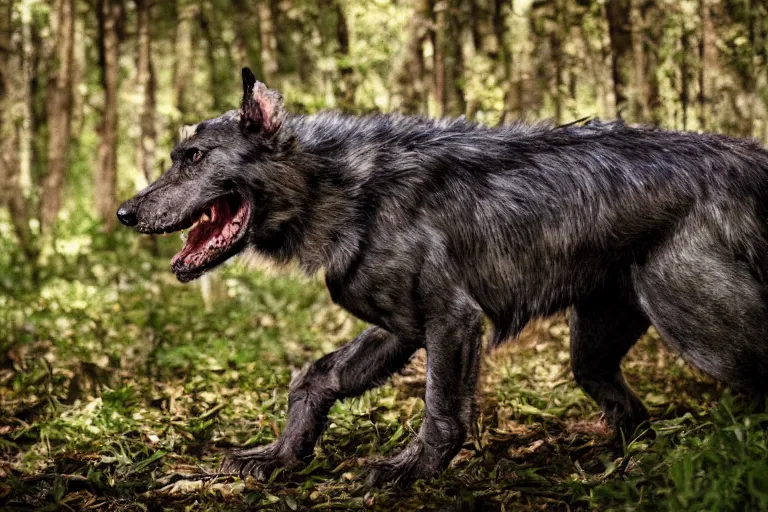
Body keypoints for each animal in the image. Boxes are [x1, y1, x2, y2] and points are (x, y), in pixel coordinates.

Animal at [115, 68, 768, 484]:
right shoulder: (399, 329)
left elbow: (442, 411)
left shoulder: (451, 323)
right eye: (177, 156)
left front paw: (409, 471)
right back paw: (621, 469)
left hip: (702, 331)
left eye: (194, 158)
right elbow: (316, 378)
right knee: (633, 415)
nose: (124, 212)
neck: (344, 186)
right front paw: (280, 455)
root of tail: (745, 160)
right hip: (595, 348)